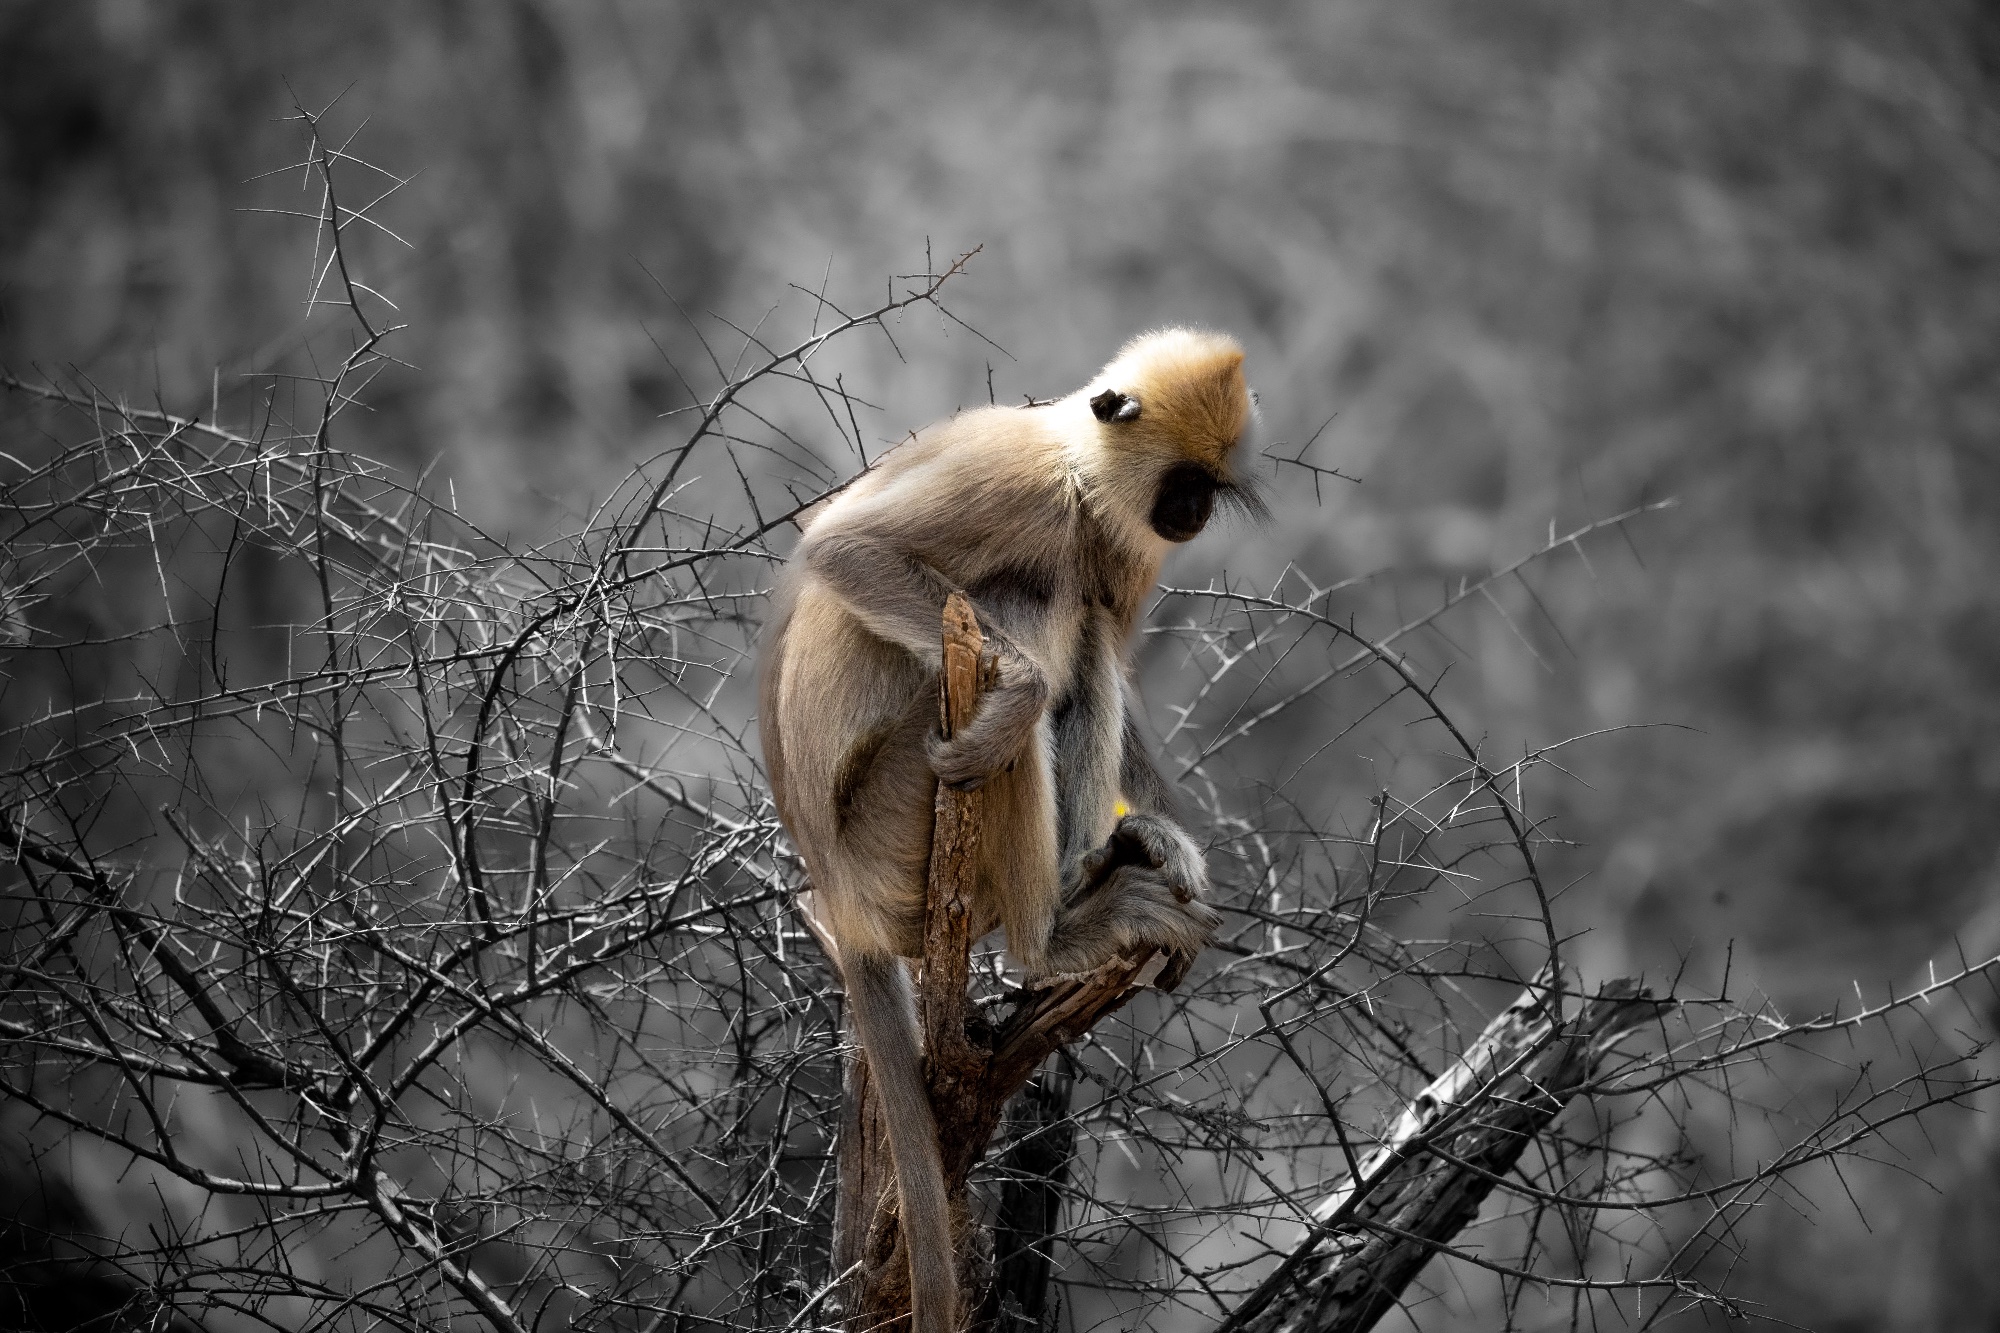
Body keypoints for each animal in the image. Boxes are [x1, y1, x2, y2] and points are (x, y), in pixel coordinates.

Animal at [758, 328, 1260, 1333]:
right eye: (1185, 478)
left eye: (1210, 486)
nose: (1192, 511)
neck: (1076, 470)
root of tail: (838, 891)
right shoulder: (1022, 483)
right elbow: (844, 548)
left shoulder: (1121, 544)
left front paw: (1172, 841)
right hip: (896, 814)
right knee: (1036, 610)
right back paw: (1051, 940)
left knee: (1087, 629)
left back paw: (1097, 876)